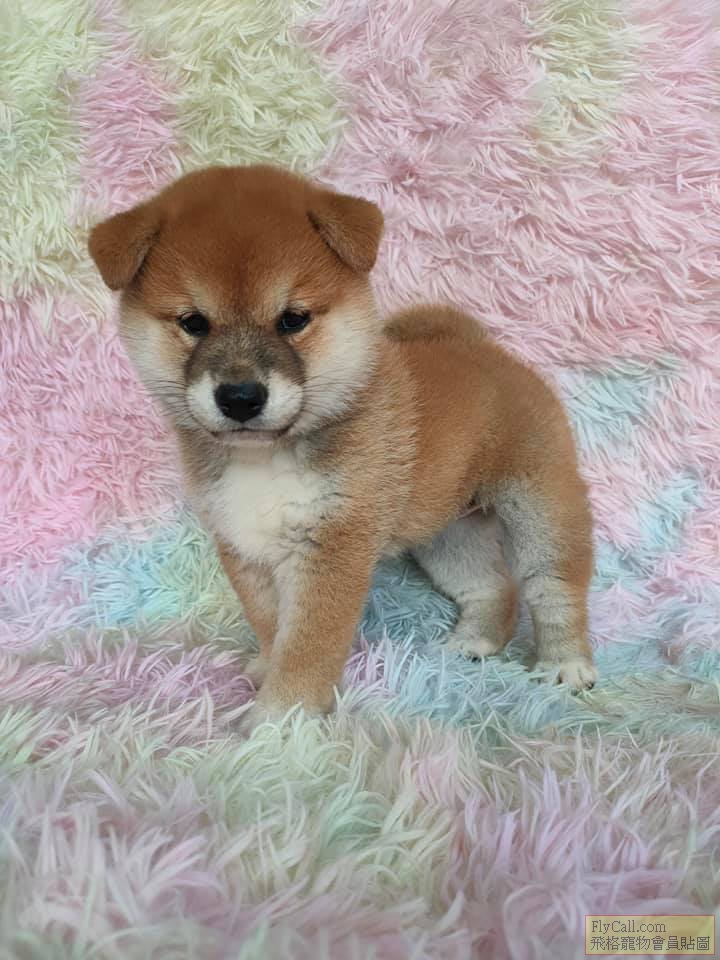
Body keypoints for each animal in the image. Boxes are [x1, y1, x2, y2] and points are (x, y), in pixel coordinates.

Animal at [89, 164, 596, 730]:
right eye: (193, 323)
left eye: (292, 319)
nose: (240, 397)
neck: (266, 458)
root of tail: (483, 347)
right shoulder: (245, 545)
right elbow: (270, 625)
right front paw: (266, 669)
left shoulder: (331, 549)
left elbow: (307, 646)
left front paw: (280, 724)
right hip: (449, 533)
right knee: (493, 586)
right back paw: (476, 642)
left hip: (541, 509)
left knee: (553, 587)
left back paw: (566, 665)